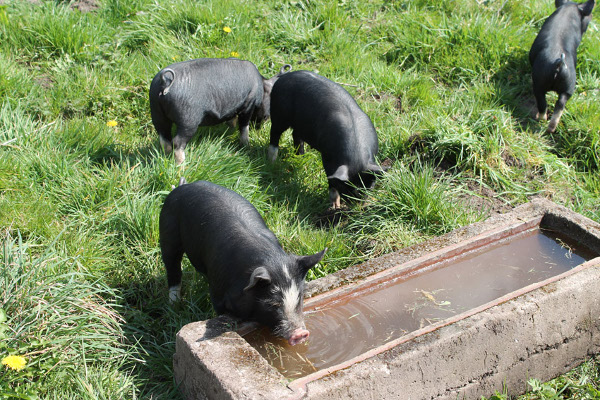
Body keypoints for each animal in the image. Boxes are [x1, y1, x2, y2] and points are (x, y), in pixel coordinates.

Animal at [149, 57, 290, 164]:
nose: (259, 128)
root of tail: (165, 82)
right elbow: (244, 126)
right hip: (188, 120)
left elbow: (232, 119)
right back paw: (183, 167)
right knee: (177, 143)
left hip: (157, 114)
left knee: (164, 139)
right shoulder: (248, 104)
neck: (260, 84)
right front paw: (246, 145)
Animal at [159, 180, 326, 346]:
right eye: (273, 304)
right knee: (173, 269)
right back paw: (174, 305)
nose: (301, 333)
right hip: (167, 233)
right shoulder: (217, 291)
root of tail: (183, 186)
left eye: (300, 298)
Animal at [268, 70, 384, 209]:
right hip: (278, 114)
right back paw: (272, 162)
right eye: (346, 189)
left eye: (367, 187)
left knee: (296, 135)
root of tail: (285, 75)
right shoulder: (327, 157)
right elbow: (331, 178)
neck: (356, 156)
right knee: (274, 134)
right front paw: (335, 206)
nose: (356, 206)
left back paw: (300, 158)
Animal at [528, 0, 596, 133]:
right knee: (560, 104)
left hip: (539, 81)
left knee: (542, 103)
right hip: (569, 85)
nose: (591, 16)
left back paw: (540, 119)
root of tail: (560, 63)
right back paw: (550, 128)